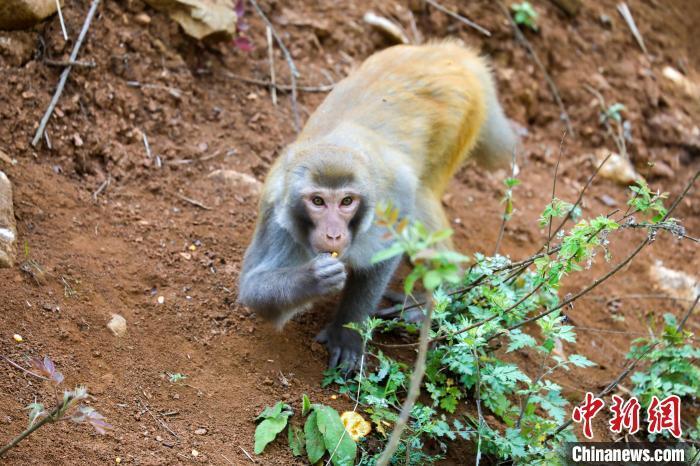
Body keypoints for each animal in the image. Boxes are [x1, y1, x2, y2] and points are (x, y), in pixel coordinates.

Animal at [238, 41, 516, 374]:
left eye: (347, 201)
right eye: (318, 201)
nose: (333, 235)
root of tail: (442, 53)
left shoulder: (385, 204)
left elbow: (384, 255)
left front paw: (347, 333)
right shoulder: (276, 214)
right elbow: (253, 291)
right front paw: (313, 278)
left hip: (458, 114)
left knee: (419, 197)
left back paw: (435, 297)